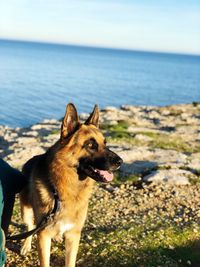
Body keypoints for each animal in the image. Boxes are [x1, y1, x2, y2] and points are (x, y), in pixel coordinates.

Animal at [19, 104, 122, 267]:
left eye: (105, 143)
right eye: (90, 145)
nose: (120, 162)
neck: (63, 190)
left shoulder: (73, 236)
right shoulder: (43, 236)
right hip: (26, 212)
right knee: (30, 226)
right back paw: (26, 245)